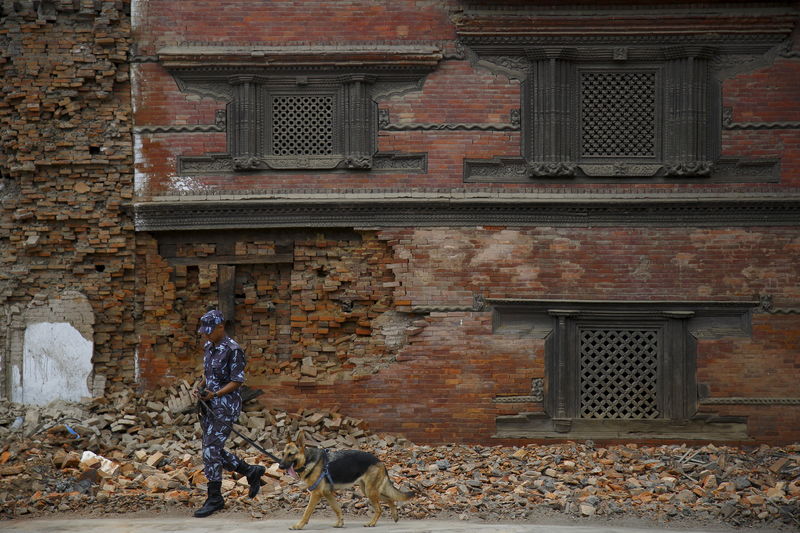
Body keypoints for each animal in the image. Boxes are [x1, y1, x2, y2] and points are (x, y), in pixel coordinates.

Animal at [280, 432, 416, 528]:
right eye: (283, 454)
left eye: (291, 454)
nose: (280, 466)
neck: (308, 460)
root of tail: (379, 461)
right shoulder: (327, 494)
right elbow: (337, 508)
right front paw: (340, 523)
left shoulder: (316, 494)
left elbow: (307, 511)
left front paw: (298, 525)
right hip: (368, 491)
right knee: (390, 500)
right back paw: (395, 516)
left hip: (370, 491)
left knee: (379, 508)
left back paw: (371, 523)